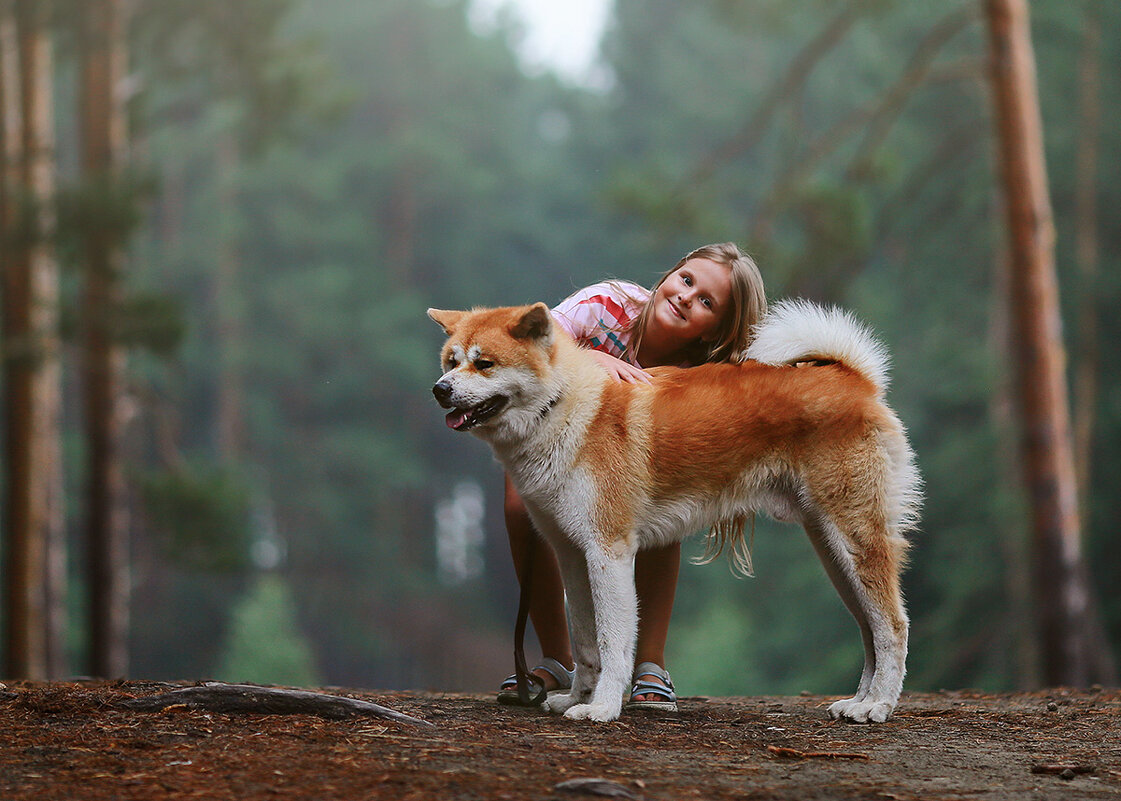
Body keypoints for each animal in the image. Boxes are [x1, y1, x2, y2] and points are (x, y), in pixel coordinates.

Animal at [425, 297, 919, 725]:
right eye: (451, 361)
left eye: (484, 363)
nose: (439, 390)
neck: (563, 408)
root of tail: (853, 378)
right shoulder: (572, 555)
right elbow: (584, 642)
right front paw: (576, 697)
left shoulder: (609, 553)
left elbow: (612, 643)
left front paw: (601, 708)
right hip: (833, 552)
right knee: (870, 629)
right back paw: (859, 701)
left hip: (854, 539)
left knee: (893, 626)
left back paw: (877, 707)